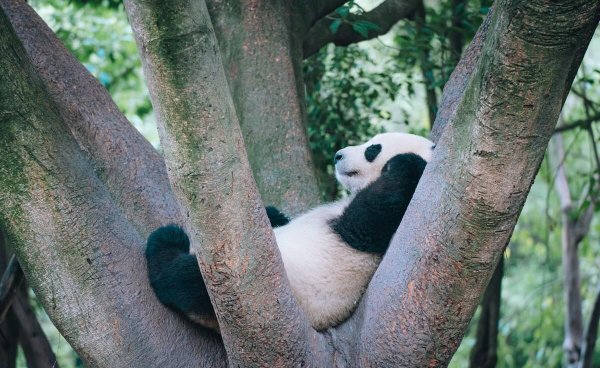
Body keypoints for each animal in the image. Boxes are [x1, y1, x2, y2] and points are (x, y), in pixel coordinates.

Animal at [147, 133, 434, 334]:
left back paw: (166, 243)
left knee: (188, 280)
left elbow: (366, 221)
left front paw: (405, 164)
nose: (338, 156)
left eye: (372, 149)